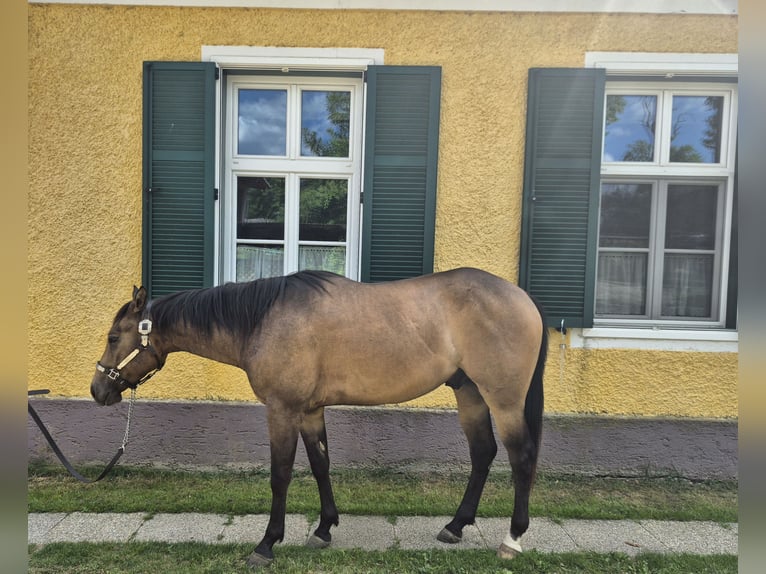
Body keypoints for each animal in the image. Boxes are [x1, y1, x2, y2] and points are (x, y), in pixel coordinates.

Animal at [90, 267, 548, 568]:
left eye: (113, 337)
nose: (98, 391)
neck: (263, 319)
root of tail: (524, 298)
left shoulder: (282, 409)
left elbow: (280, 475)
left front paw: (266, 544)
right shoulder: (309, 410)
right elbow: (320, 465)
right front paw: (324, 528)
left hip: (503, 399)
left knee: (521, 457)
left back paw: (512, 539)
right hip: (469, 393)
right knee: (483, 453)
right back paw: (456, 525)